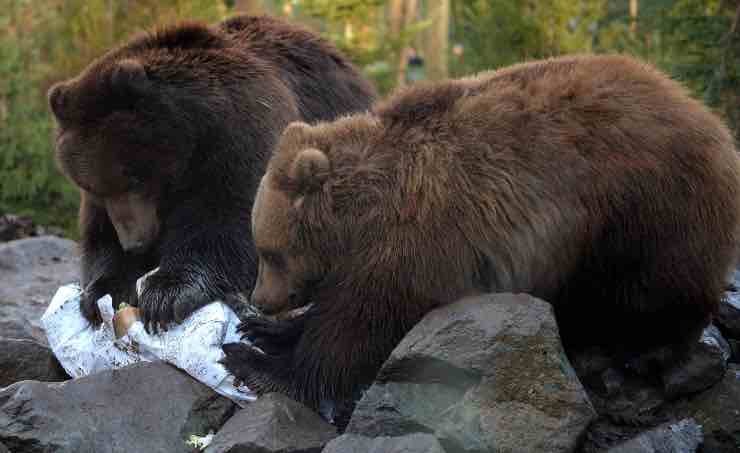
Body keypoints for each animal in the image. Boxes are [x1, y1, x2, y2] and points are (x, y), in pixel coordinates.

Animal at [47, 15, 376, 332]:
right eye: (95, 188)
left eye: (135, 178)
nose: (136, 243)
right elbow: (99, 235)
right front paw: (103, 291)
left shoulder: (238, 137)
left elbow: (227, 220)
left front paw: (167, 294)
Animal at [223, 53, 740, 414]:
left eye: (270, 251)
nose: (260, 298)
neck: (361, 216)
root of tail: (709, 119)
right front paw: (264, 331)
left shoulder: (417, 240)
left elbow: (358, 326)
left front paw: (254, 361)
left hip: (642, 208)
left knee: (652, 288)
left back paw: (641, 354)